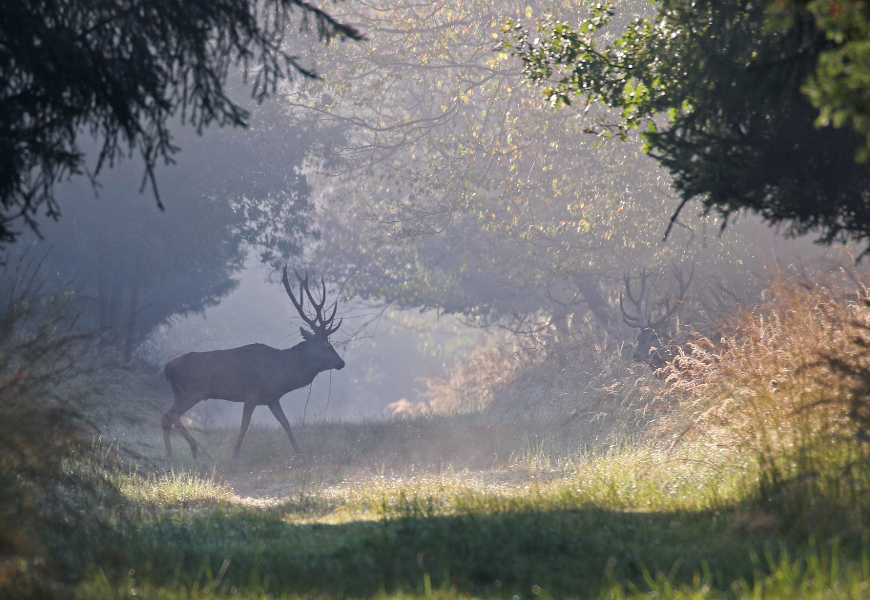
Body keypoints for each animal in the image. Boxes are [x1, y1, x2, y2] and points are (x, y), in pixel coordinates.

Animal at [161, 268, 345, 461]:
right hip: (190, 391)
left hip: (185, 393)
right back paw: (190, 449)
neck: (282, 373)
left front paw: (299, 451)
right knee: (169, 416)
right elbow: (244, 425)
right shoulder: (251, 394)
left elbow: (285, 422)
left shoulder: (272, 397)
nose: (342, 362)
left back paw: (172, 455)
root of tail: (167, 368)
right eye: (328, 347)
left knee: (167, 418)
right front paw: (235, 455)